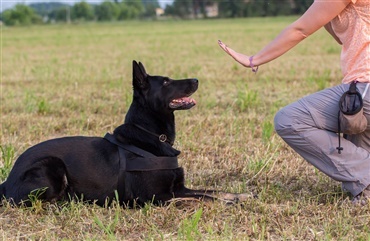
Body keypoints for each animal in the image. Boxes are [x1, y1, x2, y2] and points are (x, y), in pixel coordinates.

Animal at [0, 61, 249, 206]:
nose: (196, 79)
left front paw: (239, 196)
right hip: (52, 166)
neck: (151, 135)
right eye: (166, 82)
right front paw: (227, 203)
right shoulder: (158, 197)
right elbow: (203, 198)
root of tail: (7, 180)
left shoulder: (179, 188)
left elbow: (210, 190)